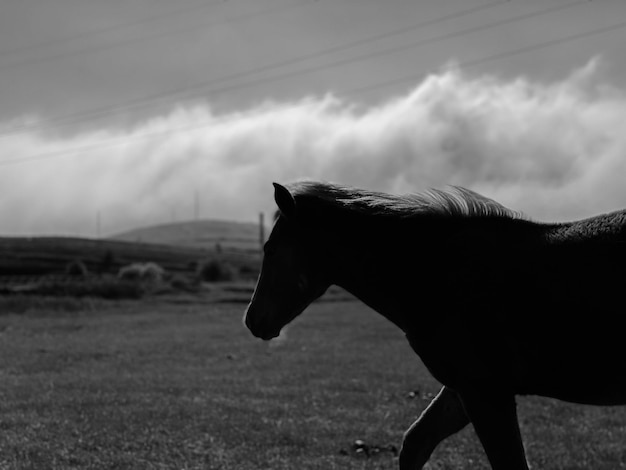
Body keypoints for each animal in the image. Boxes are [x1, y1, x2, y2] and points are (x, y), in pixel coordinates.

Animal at [241, 180, 624, 470]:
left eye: (270, 248)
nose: (252, 320)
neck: (441, 273)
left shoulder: (486, 392)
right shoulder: (463, 390)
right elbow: (415, 443)